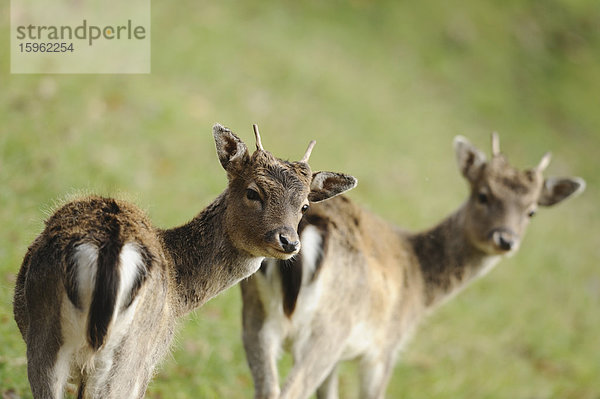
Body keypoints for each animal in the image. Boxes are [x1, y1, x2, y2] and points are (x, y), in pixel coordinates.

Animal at [12, 123, 356, 398]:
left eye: (304, 206)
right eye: (253, 192)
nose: (288, 241)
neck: (180, 295)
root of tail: (110, 247)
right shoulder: (151, 359)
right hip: (102, 349)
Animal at [240, 134, 584, 399]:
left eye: (531, 211)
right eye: (483, 195)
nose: (506, 239)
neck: (421, 289)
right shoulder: (385, 349)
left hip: (255, 314)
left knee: (267, 388)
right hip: (329, 328)